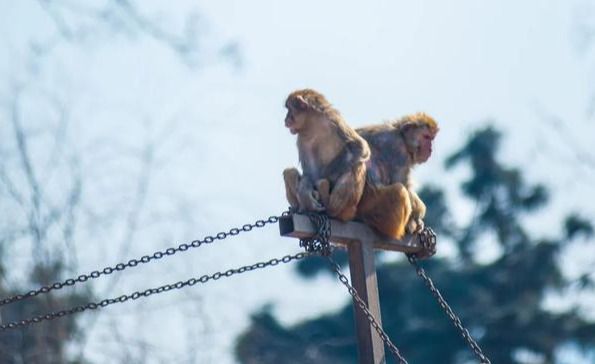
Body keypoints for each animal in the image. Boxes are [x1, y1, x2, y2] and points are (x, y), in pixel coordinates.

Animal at [282, 89, 370, 220]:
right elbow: (309, 172)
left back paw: (330, 208)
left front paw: (321, 181)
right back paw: (300, 208)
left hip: (349, 207)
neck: (314, 124)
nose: (285, 119)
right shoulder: (302, 138)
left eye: (289, 109)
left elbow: (359, 147)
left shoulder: (334, 119)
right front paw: (305, 191)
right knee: (289, 172)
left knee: (355, 166)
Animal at [354, 112, 438, 240]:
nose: (430, 149)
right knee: (399, 191)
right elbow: (401, 182)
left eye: (431, 139)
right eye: (426, 137)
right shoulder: (399, 152)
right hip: (375, 209)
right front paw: (419, 214)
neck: (401, 136)